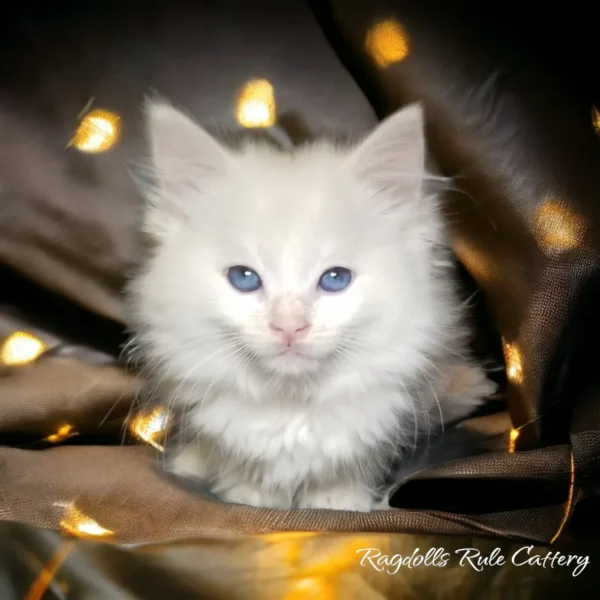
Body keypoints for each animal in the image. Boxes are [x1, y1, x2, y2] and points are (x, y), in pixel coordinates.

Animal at [124, 102, 494, 510]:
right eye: (244, 278)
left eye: (335, 279)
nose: (289, 327)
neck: (292, 405)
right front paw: (250, 497)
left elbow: (344, 479)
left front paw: (338, 503)